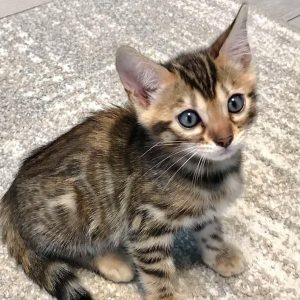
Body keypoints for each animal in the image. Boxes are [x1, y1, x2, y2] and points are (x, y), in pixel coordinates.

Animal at [1, 4, 256, 300]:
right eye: (189, 119)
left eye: (235, 103)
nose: (225, 139)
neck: (207, 171)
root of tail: (10, 196)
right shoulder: (145, 226)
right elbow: (157, 272)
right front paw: (167, 295)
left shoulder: (206, 210)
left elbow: (210, 228)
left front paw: (220, 253)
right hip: (75, 211)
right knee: (61, 249)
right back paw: (111, 261)